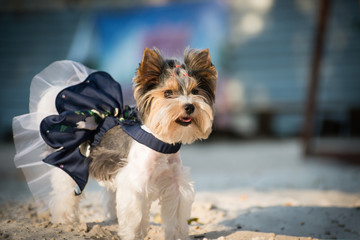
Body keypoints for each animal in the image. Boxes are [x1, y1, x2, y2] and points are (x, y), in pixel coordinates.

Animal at [13, 47, 217, 239]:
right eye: (168, 93)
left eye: (196, 91)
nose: (189, 106)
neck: (161, 143)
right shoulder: (135, 187)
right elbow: (136, 219)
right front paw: (133, 235)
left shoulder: (176, 187)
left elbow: (175, 218)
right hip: (69, 168)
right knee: (64, 194)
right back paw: (64, 221)